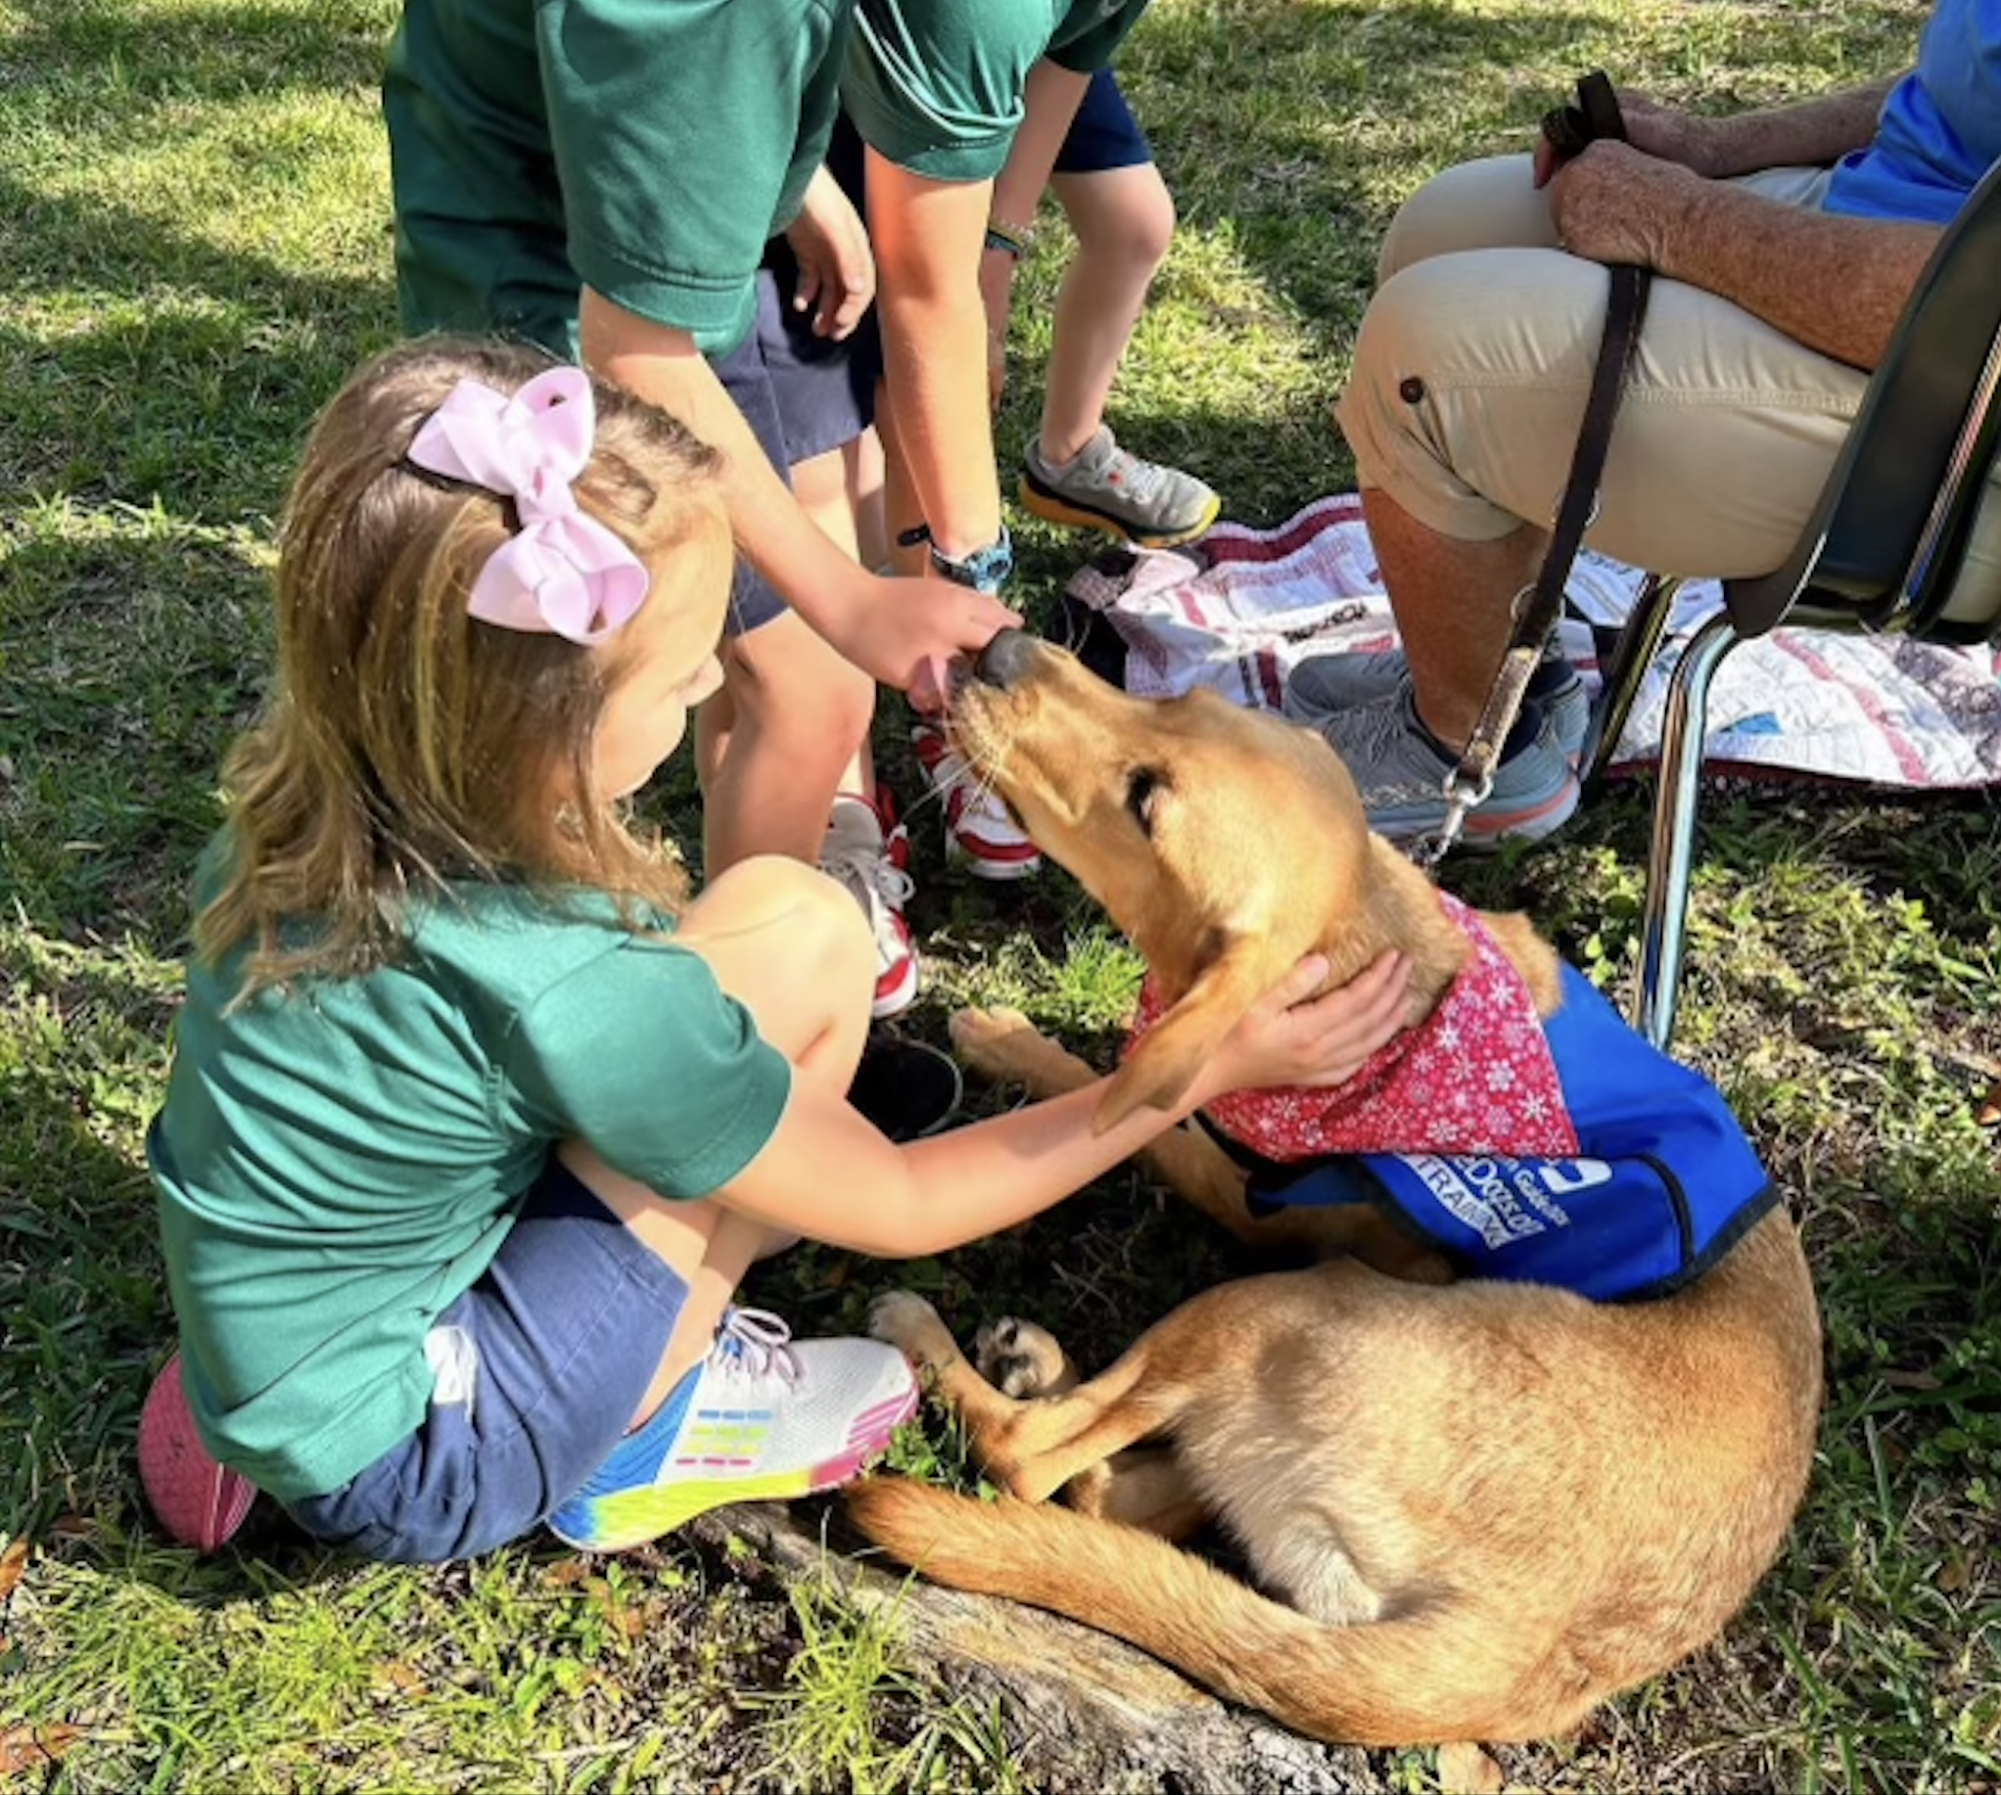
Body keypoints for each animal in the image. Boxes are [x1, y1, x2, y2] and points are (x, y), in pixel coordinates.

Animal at [848, 632, 1832, 1752]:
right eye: (1176, 700)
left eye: (1146, 801)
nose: (1001, 646)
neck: (1390, 960)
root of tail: (1509, 1658)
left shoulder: (1261, 1199)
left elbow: (1146, 1117)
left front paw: (1019, 1046)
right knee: (1107, 1495)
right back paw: (1038, 1365)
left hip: (1286, 1301)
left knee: (1030, 1461)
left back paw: (941, 1343)